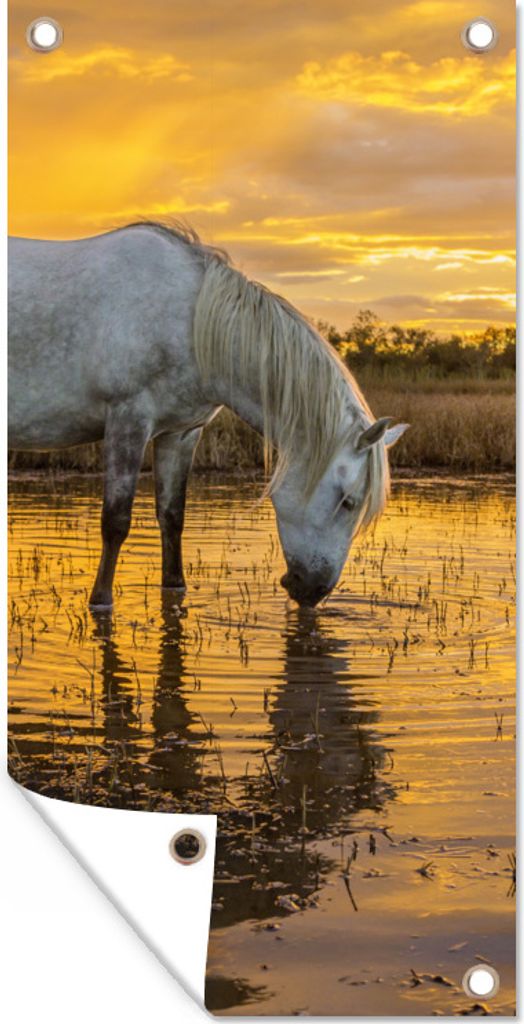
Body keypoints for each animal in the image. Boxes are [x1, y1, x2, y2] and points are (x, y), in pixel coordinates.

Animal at [8, 221, 408, 608]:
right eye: (348, 501)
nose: (314, 591)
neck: (189, 320)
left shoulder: (181, 433)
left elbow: (172, 517)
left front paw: (175, 587)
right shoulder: (128, 421)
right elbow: (116, 521)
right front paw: (100, 601)